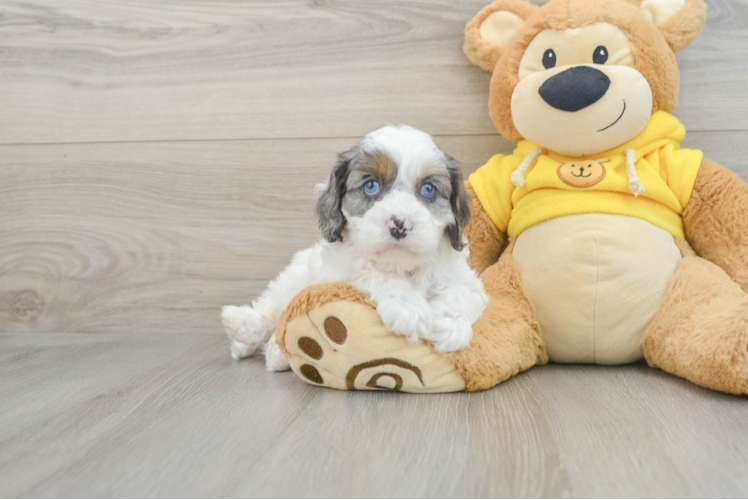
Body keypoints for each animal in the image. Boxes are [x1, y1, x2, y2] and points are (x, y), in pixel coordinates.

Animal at [221, 125, 490, 372]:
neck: (400, 265)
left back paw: (273, 352)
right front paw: (408, 306)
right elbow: (372, 273)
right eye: (371, 186)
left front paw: (449, 326)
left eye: (428, 189)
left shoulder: (462, 277)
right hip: (294, 277)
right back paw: (242, 329)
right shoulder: (337, 273)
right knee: (272, 311)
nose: (399, 225)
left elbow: (462, 293)